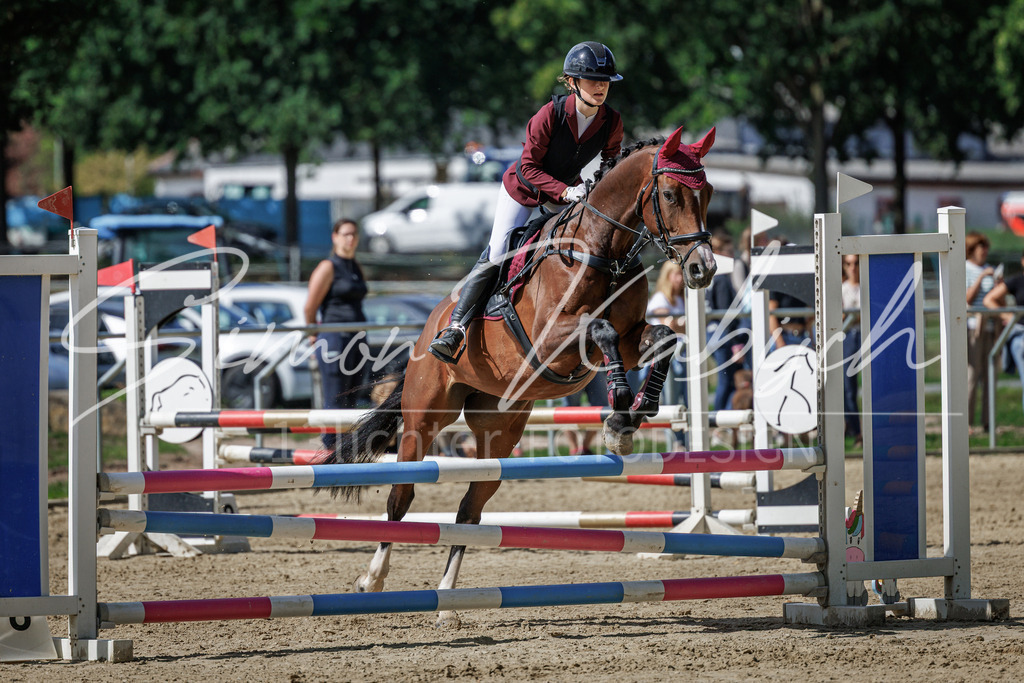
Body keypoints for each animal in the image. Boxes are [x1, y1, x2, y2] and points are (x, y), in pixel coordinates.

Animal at [322, 125, 718, 628]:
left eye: (707, 192)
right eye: (669, 194)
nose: (703, 269)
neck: (601, 250)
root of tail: (427, 329)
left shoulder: (632, 338)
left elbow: (665, 336)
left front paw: (636, 411)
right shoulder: (554, 339)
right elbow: (602, 329)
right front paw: (619, 410)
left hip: (499, 433)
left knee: (470, 510)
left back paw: (446, 601)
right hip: (424, 417)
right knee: (401, 496)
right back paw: (371, 580)